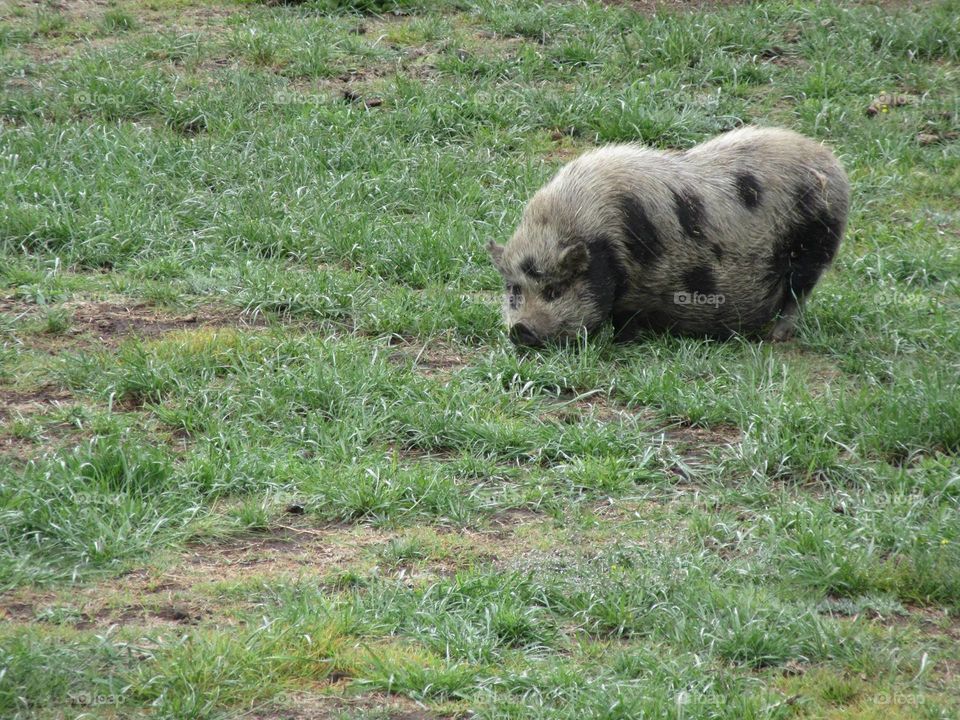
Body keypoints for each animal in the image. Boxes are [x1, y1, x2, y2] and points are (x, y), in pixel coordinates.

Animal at [487, 126, 849, 346]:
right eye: (514, 290)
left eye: (554, 290)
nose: (520, 330)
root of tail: (831, 163)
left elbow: (627, 318)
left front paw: (621, 341)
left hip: (814, 245)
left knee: (798, 294)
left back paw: (776, 336)